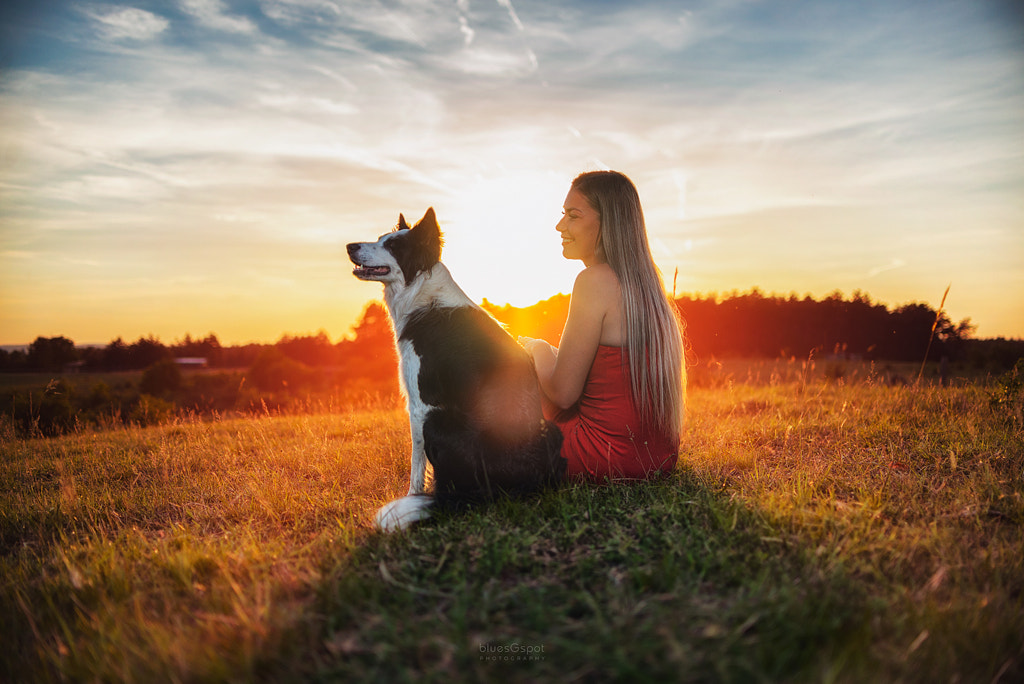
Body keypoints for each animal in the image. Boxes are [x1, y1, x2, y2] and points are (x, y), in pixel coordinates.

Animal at [348, 206, 565, 528]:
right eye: (380, 239)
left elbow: (416, 464)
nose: (349, 246)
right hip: (550, 431)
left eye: (393, 246)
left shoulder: (421, 404)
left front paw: (413, 496)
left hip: (438, 421)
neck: (423, 293)